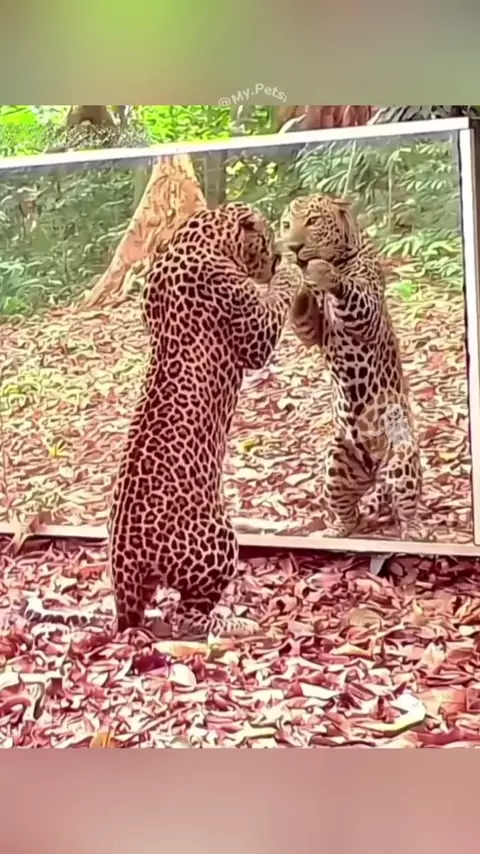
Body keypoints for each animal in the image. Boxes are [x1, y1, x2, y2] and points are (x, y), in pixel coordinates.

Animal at [108, 202, 304, 639]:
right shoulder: (254, 333)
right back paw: (236, 623)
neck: (201, 237)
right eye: (267, 237)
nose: (276, 257)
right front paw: (290, 271)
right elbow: (276, 299)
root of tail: (126, 561)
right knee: (187, 615)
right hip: (220, 543)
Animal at [279, 193, 422, 539]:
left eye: (313, 222)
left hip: (401, 460)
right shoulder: (315, 329)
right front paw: (297, 282)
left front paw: (323, 273)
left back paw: (414, 533)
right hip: (336, 465)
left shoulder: (365, 309)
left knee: (407, 507)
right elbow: (304, 319)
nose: (292, 248)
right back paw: (336, 530)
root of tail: (374, 473)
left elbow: (351, 294)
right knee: (350, 514)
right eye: (286, 224)